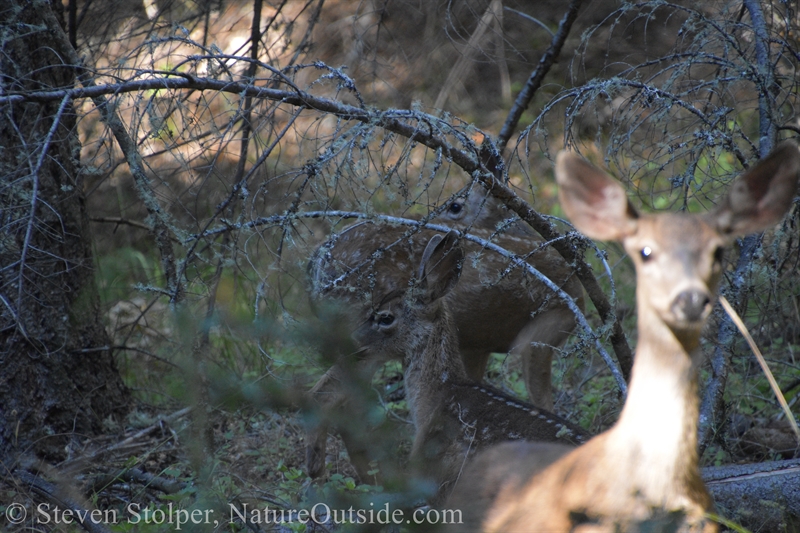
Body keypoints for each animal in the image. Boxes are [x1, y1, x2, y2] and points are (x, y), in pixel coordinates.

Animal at [304, 190, 584, 478]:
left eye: (386, 318)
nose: (355, 338)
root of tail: (315, 263)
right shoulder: (543, 329)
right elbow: (542, 399)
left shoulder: (481, 346)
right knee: (332, 397)